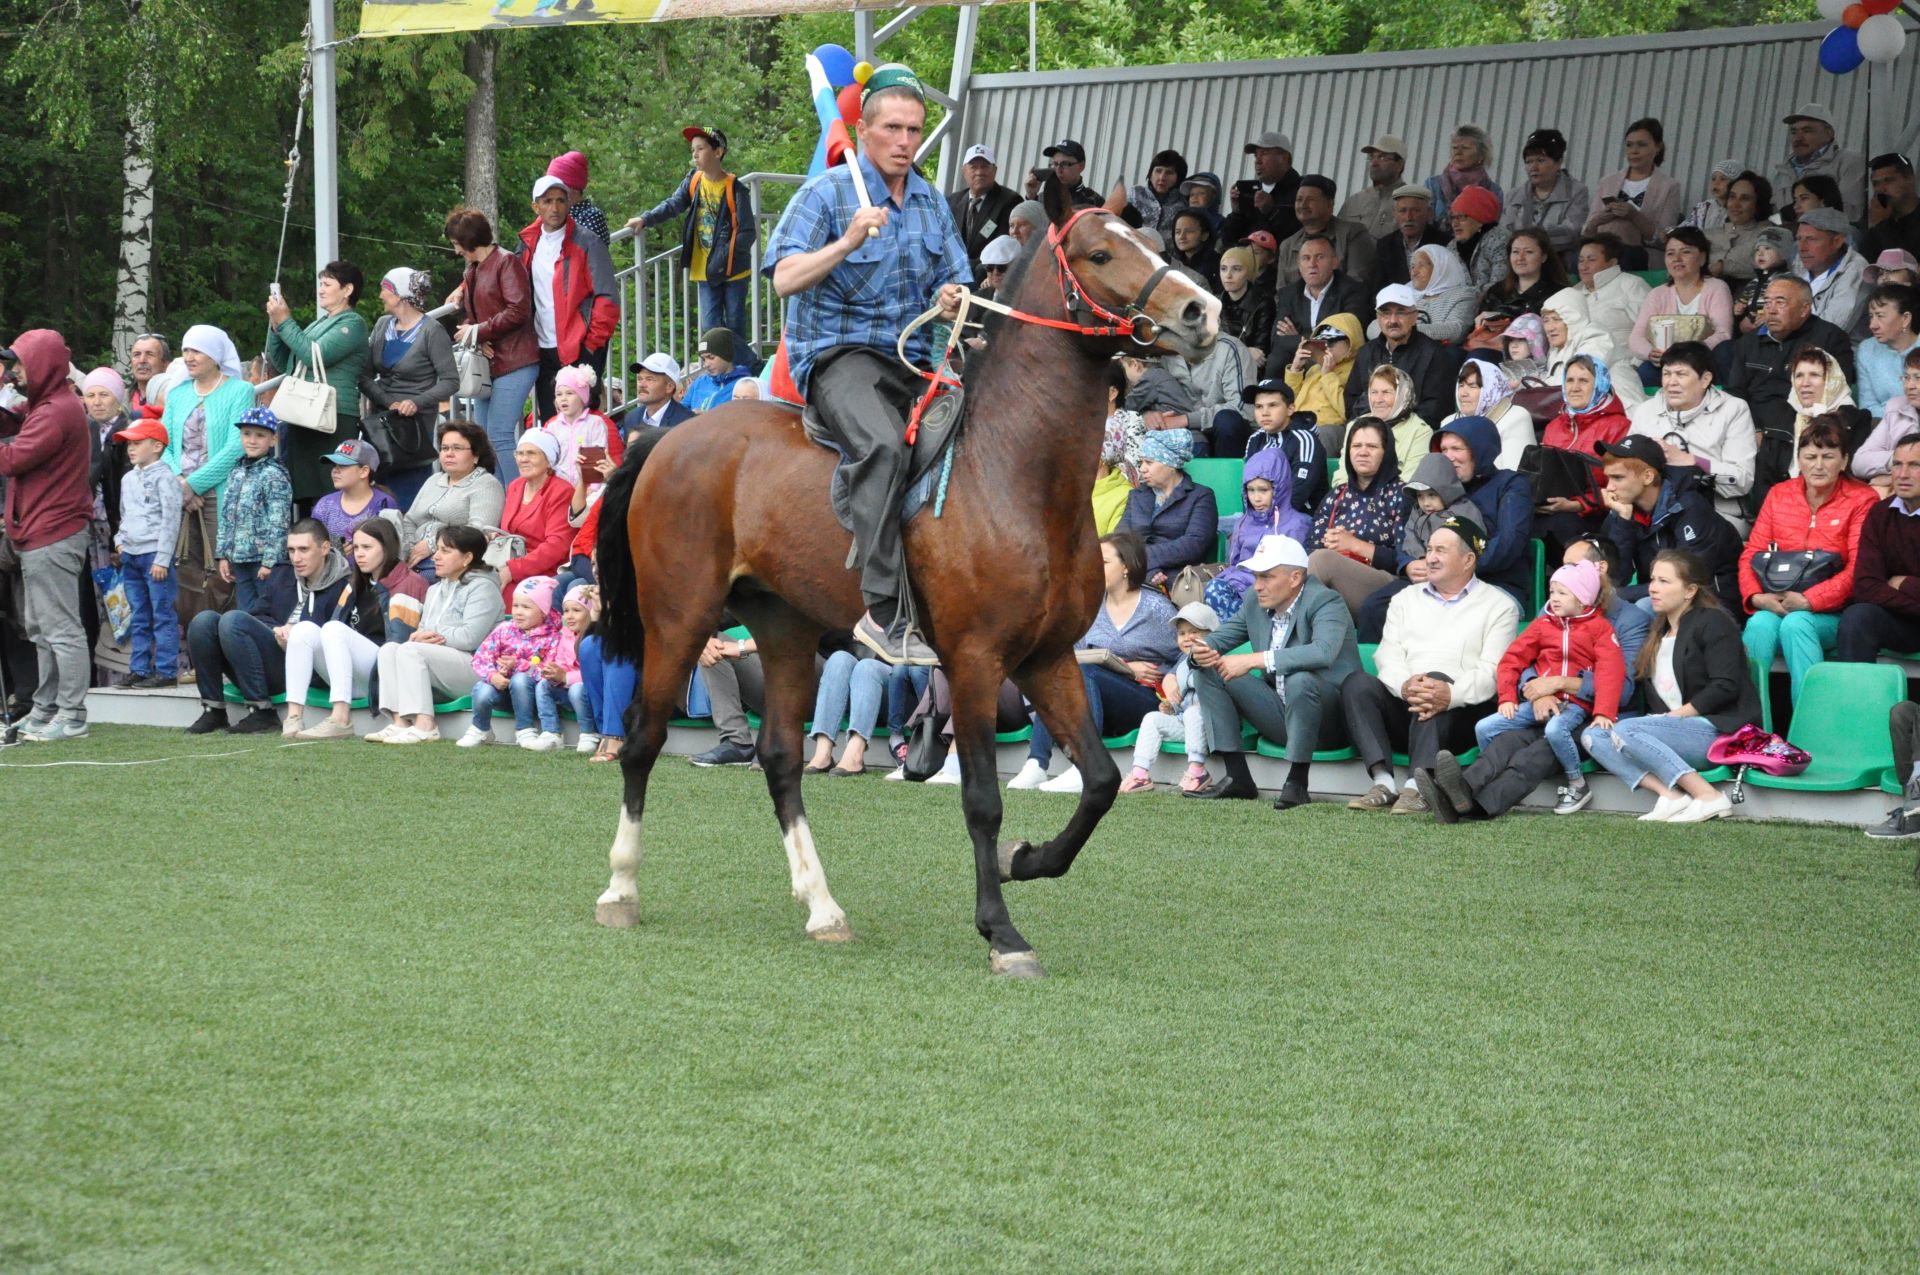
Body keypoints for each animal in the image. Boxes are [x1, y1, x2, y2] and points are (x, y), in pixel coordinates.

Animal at [587, 179, 1213, 975]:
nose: (1201, 312)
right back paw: (620, 889)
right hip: (679, 618)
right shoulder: (976, 662)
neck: (1014, 473)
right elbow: (982, 800)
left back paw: (823, 908)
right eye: (1101, 254)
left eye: (1157, 244)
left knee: (780, 758)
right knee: (642, 739)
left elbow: (1100, 781)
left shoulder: (1047, 658)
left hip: (783, 628)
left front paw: (1025, 859)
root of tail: (664, 439)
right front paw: (1002, 932)